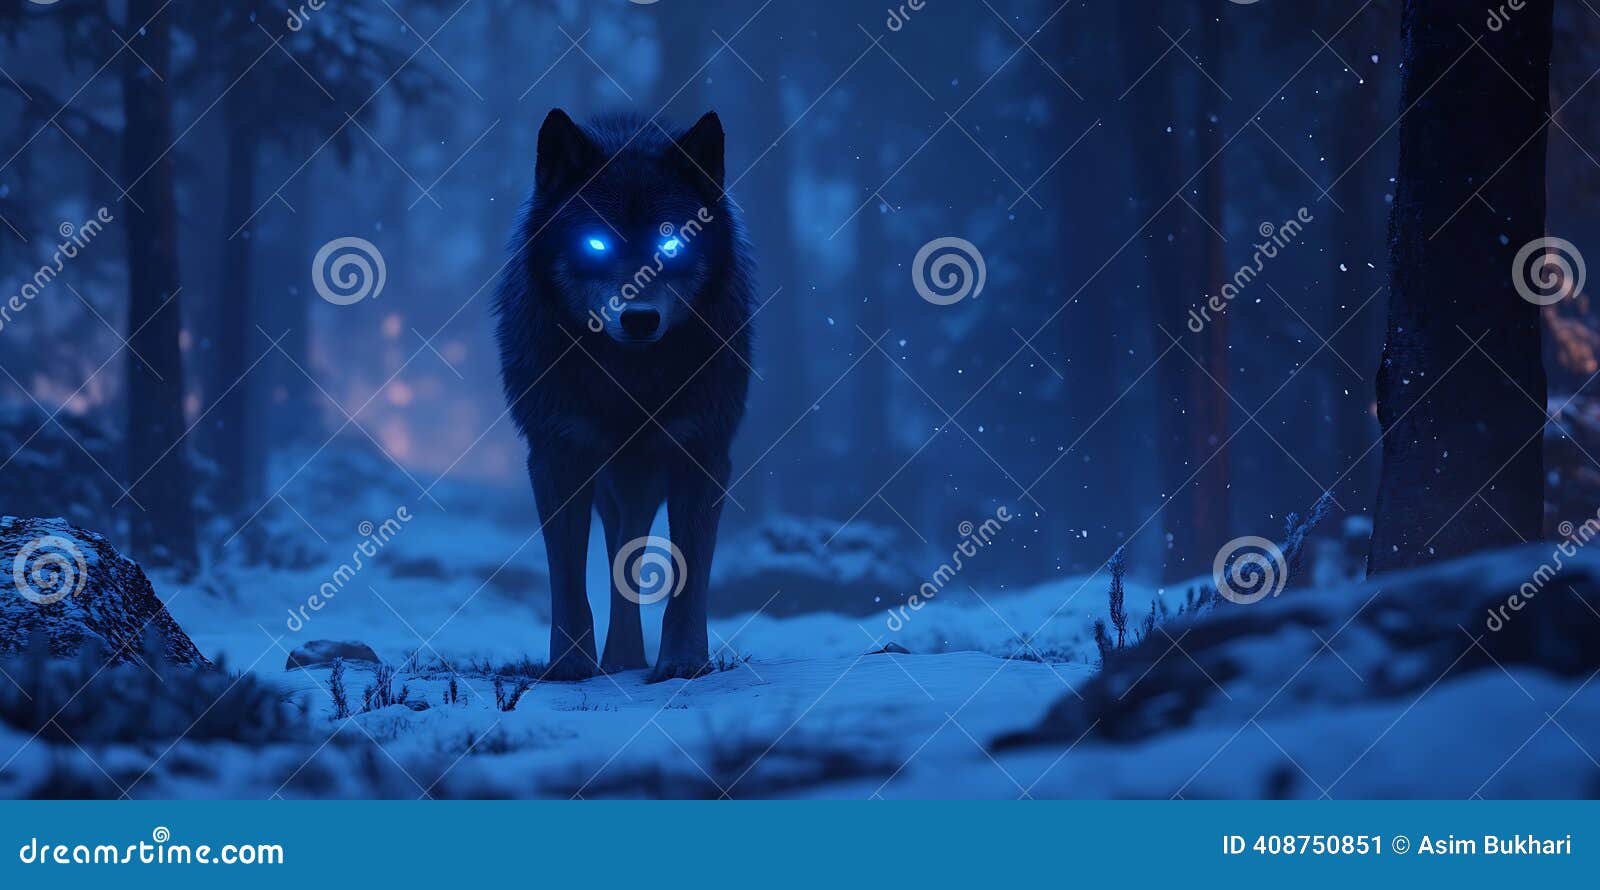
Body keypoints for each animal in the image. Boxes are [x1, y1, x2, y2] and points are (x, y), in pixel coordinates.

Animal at [493, 109, 754, 681]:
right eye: (596, 244)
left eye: (672, 245)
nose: (639, 319)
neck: (628, 378)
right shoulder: (557, 454)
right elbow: (568, 575)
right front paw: (570, 664)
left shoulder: (702, 454)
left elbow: (688, 575)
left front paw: (682, 661)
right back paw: (619, 660)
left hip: (640, 476)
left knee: (627, 554)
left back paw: (627, 659)